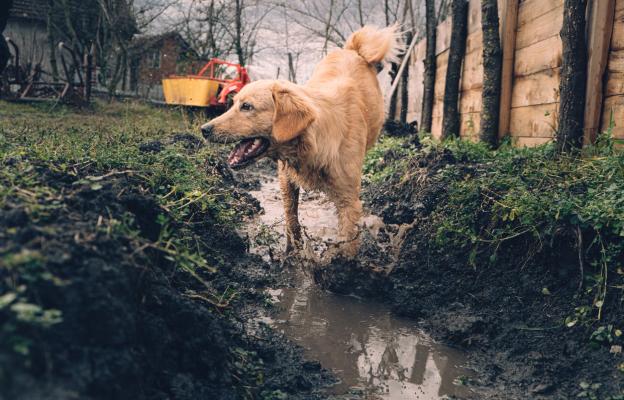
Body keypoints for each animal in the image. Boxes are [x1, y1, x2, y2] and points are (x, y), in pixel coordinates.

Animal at [202, 25, 402, 256]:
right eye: (233, 103)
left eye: (247, 107)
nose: (203, 129)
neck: (313, 142)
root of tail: (353, 50)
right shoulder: (285, 179)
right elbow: (292, 219)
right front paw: (293, 251)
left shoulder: (349, 201)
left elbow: (347, 243)